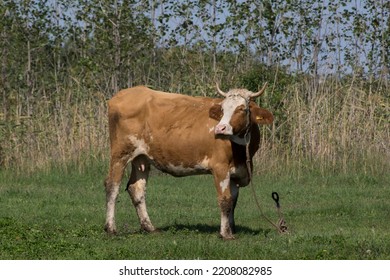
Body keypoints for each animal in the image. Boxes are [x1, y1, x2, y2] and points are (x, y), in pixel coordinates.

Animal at [103, 82, 274, 238]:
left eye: (242, 109)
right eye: (223, 109)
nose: (220, 128)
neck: (242, 152)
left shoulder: (236, 172)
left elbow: (233, 202)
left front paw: (231, 229)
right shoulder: (220, 168)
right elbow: (225, 200)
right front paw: (225, 234)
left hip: (141, 158)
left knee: (137, 189)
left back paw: (149, 227)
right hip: (120, 154)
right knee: (112, 186)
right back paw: (111, 228)